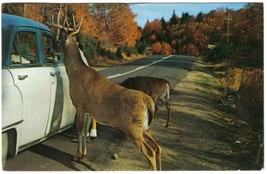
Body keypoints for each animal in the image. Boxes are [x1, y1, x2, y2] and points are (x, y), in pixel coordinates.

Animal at [48, 6, 161, 170]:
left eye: (58, 40)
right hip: (144, 128)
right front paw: (83, 154)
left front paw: (77, 156)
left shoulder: (79, 104)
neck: (76, 74)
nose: (50, 49)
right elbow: (85, 131)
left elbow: (80, 130)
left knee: (150, 152)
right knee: (158, 148)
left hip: (133, 129)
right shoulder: (89, 109)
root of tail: (149, 103)